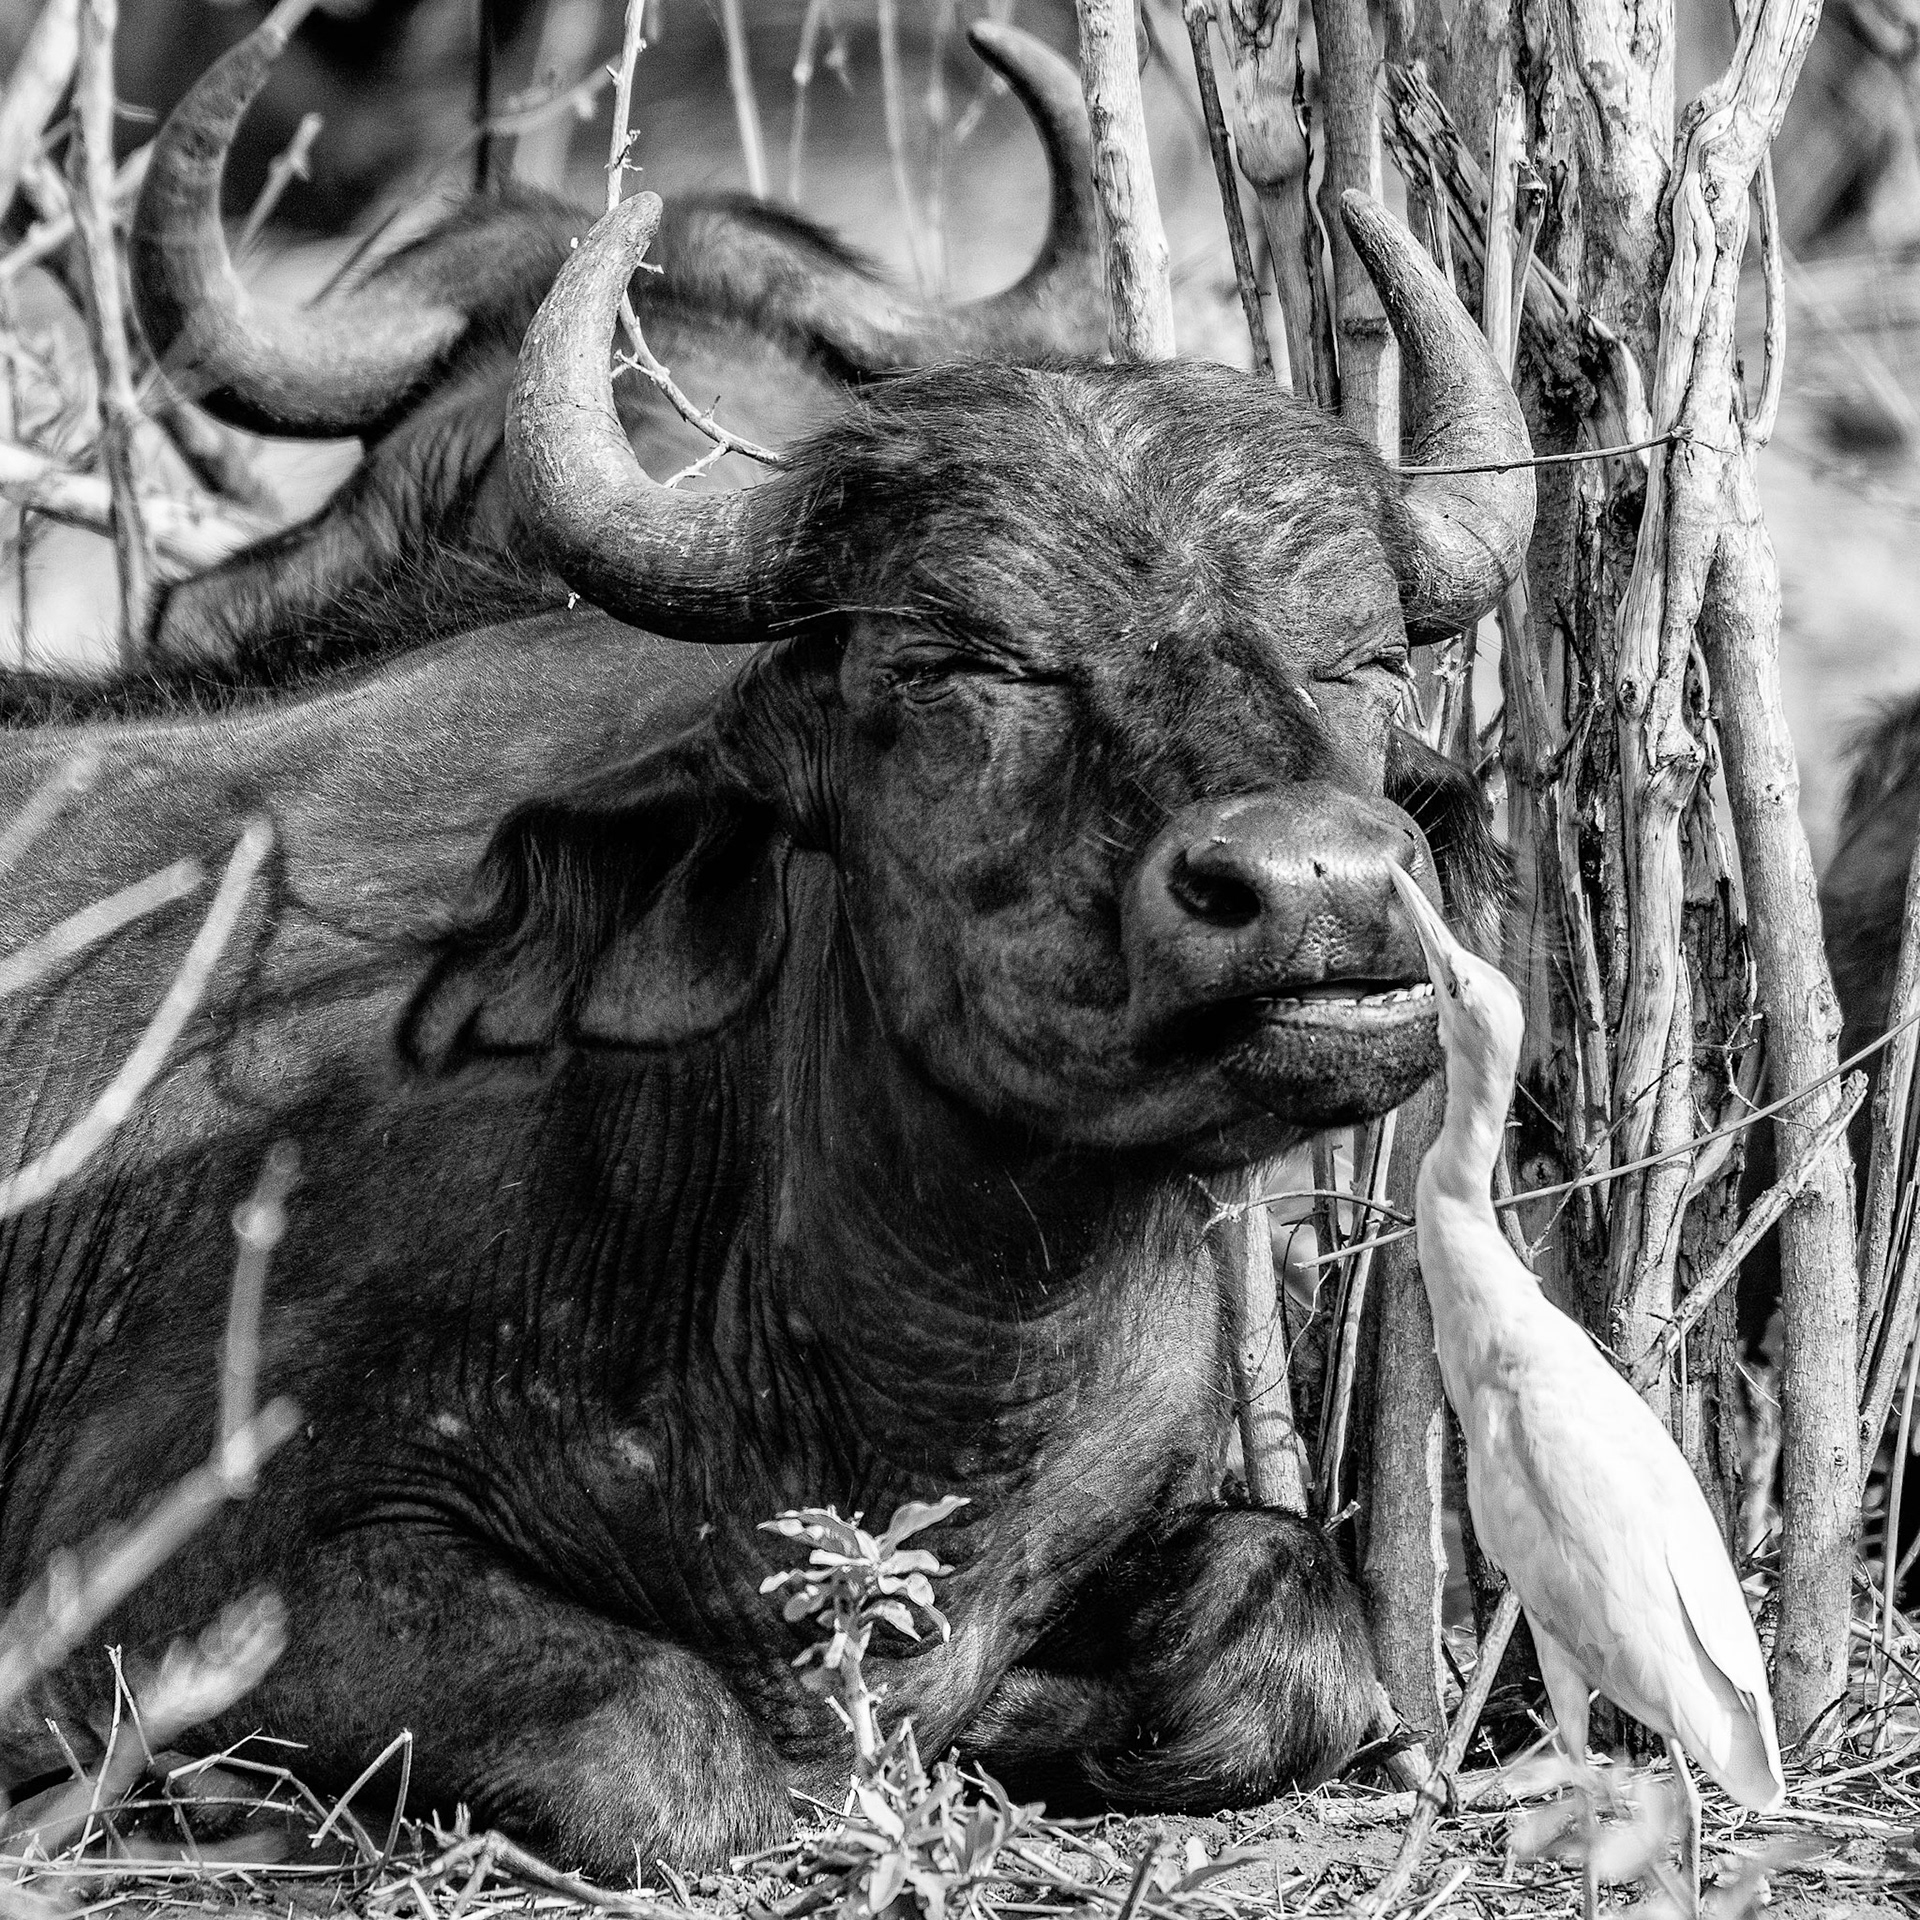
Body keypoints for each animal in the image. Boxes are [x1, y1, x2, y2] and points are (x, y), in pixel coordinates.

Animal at [0, 12, 1535, 1880]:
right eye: (966, 663)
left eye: (1366, 660)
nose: (1316, 881)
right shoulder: (145, 1561)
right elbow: (661, 1744)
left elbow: (1292, 1634)